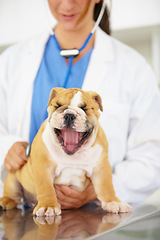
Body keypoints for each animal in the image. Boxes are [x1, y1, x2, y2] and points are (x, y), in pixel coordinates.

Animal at [0, 87, 132, 216]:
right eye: (57, 106)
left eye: (84, 108)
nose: (69, 115)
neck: (72, 155)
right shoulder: (43, 168)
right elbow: (46, 188)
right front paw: (48, 206)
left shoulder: (101, 168)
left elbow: (106, 186)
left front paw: (114, 202)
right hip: (12, 180)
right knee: (12, 195)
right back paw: (5, 201)